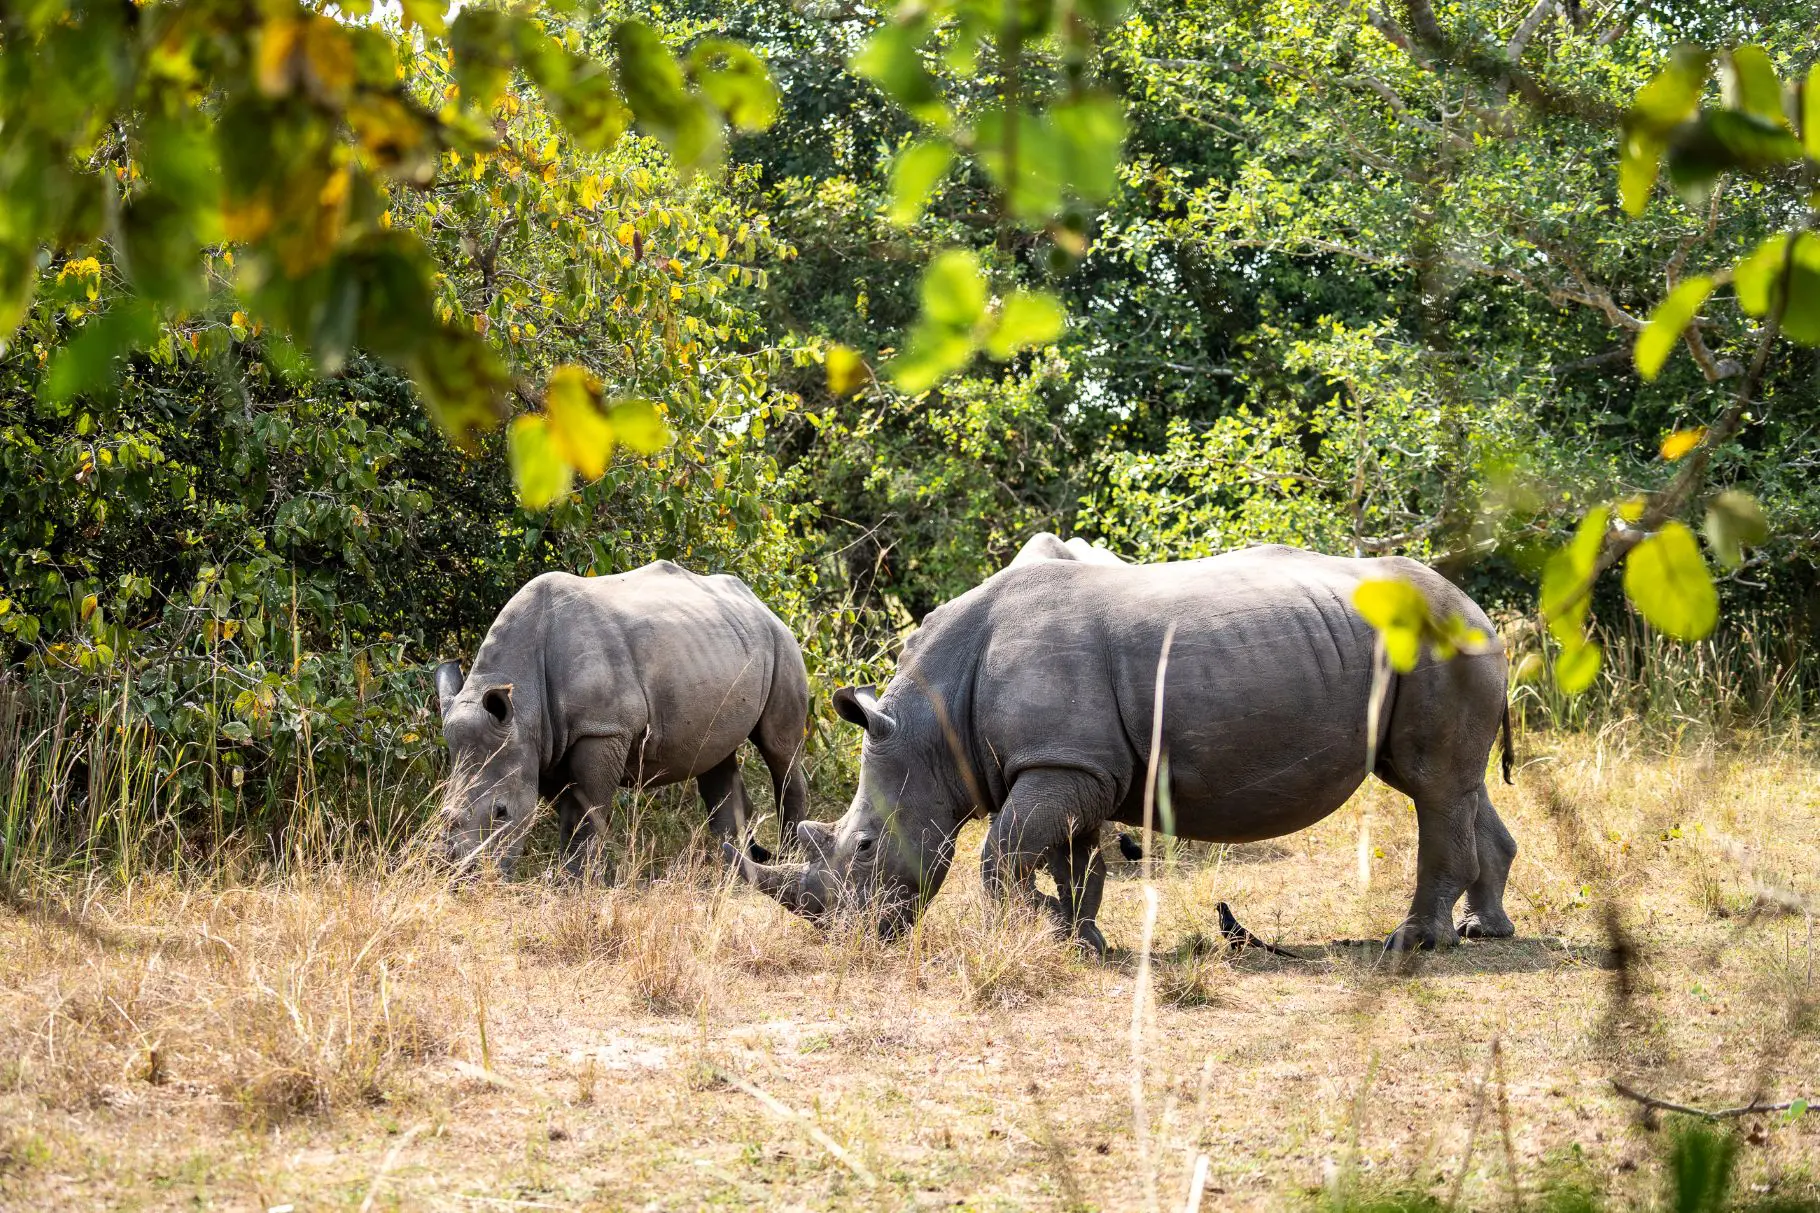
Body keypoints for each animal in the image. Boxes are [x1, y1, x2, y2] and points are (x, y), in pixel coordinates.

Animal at [435, 562, 809, 877]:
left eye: (501, 813)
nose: (462, 879)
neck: (524, 708)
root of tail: (760, 603)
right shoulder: (543, 745)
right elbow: (572, 813)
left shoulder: (602, 730)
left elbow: (584, 814)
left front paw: (575, 883)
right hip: (720, 648)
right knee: (717, 758)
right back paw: (730, 869)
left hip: (782, 644)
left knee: (779, 750)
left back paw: (790, 856)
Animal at [730, 545, 1516, 953]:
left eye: (863, 846)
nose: (849, 939)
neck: (931, 727)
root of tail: (1479, 610)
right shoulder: (1070, 763)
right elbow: (1069, 860)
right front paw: (1078, 940)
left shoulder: (1059, 763)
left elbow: (1002, 854)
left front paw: (1040, 927)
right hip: (1435, 647)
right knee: (1452, 786)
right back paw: (1483, 929)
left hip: (1440, 646)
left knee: (1433, 786)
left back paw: (1414, 942)